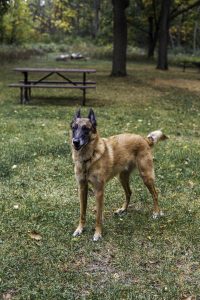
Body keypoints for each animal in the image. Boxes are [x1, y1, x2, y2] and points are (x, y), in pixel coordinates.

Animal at [70, 108, 167, 241]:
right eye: (74, 128)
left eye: (86, 128)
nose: (75, 142)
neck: (88, 159)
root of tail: (144, 139)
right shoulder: (82, 188)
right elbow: (82, 212)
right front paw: (80, 229)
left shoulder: (99, 191)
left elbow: (98, 216)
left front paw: (97, 233)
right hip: (122, 177)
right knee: (129, 192)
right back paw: (123, 209)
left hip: (146, 176)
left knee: (155, 193)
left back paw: (156, 212)